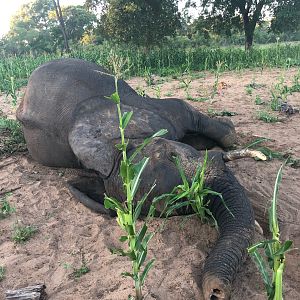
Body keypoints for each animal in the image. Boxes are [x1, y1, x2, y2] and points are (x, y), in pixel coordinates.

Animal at [16, 58, 254, 300]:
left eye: (172, 155)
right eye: (176, 206)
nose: (216, 292)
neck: (110, 150)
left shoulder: (157, 114)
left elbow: (188, 112)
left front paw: (224, 132)